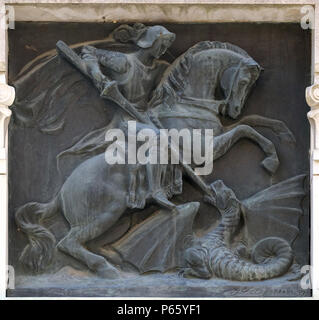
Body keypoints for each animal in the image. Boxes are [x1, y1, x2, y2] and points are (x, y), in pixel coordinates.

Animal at [15, 41, 296, 278]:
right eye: (244, 80)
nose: (234, 109)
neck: (183, 105)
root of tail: (62, 192)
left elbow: (250, 122)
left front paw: (281, 136)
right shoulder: (203, 148)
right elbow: (243, 129)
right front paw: (271, 159)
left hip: (120, 217)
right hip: (103, 214)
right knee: (68, 243)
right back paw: (106, 269)